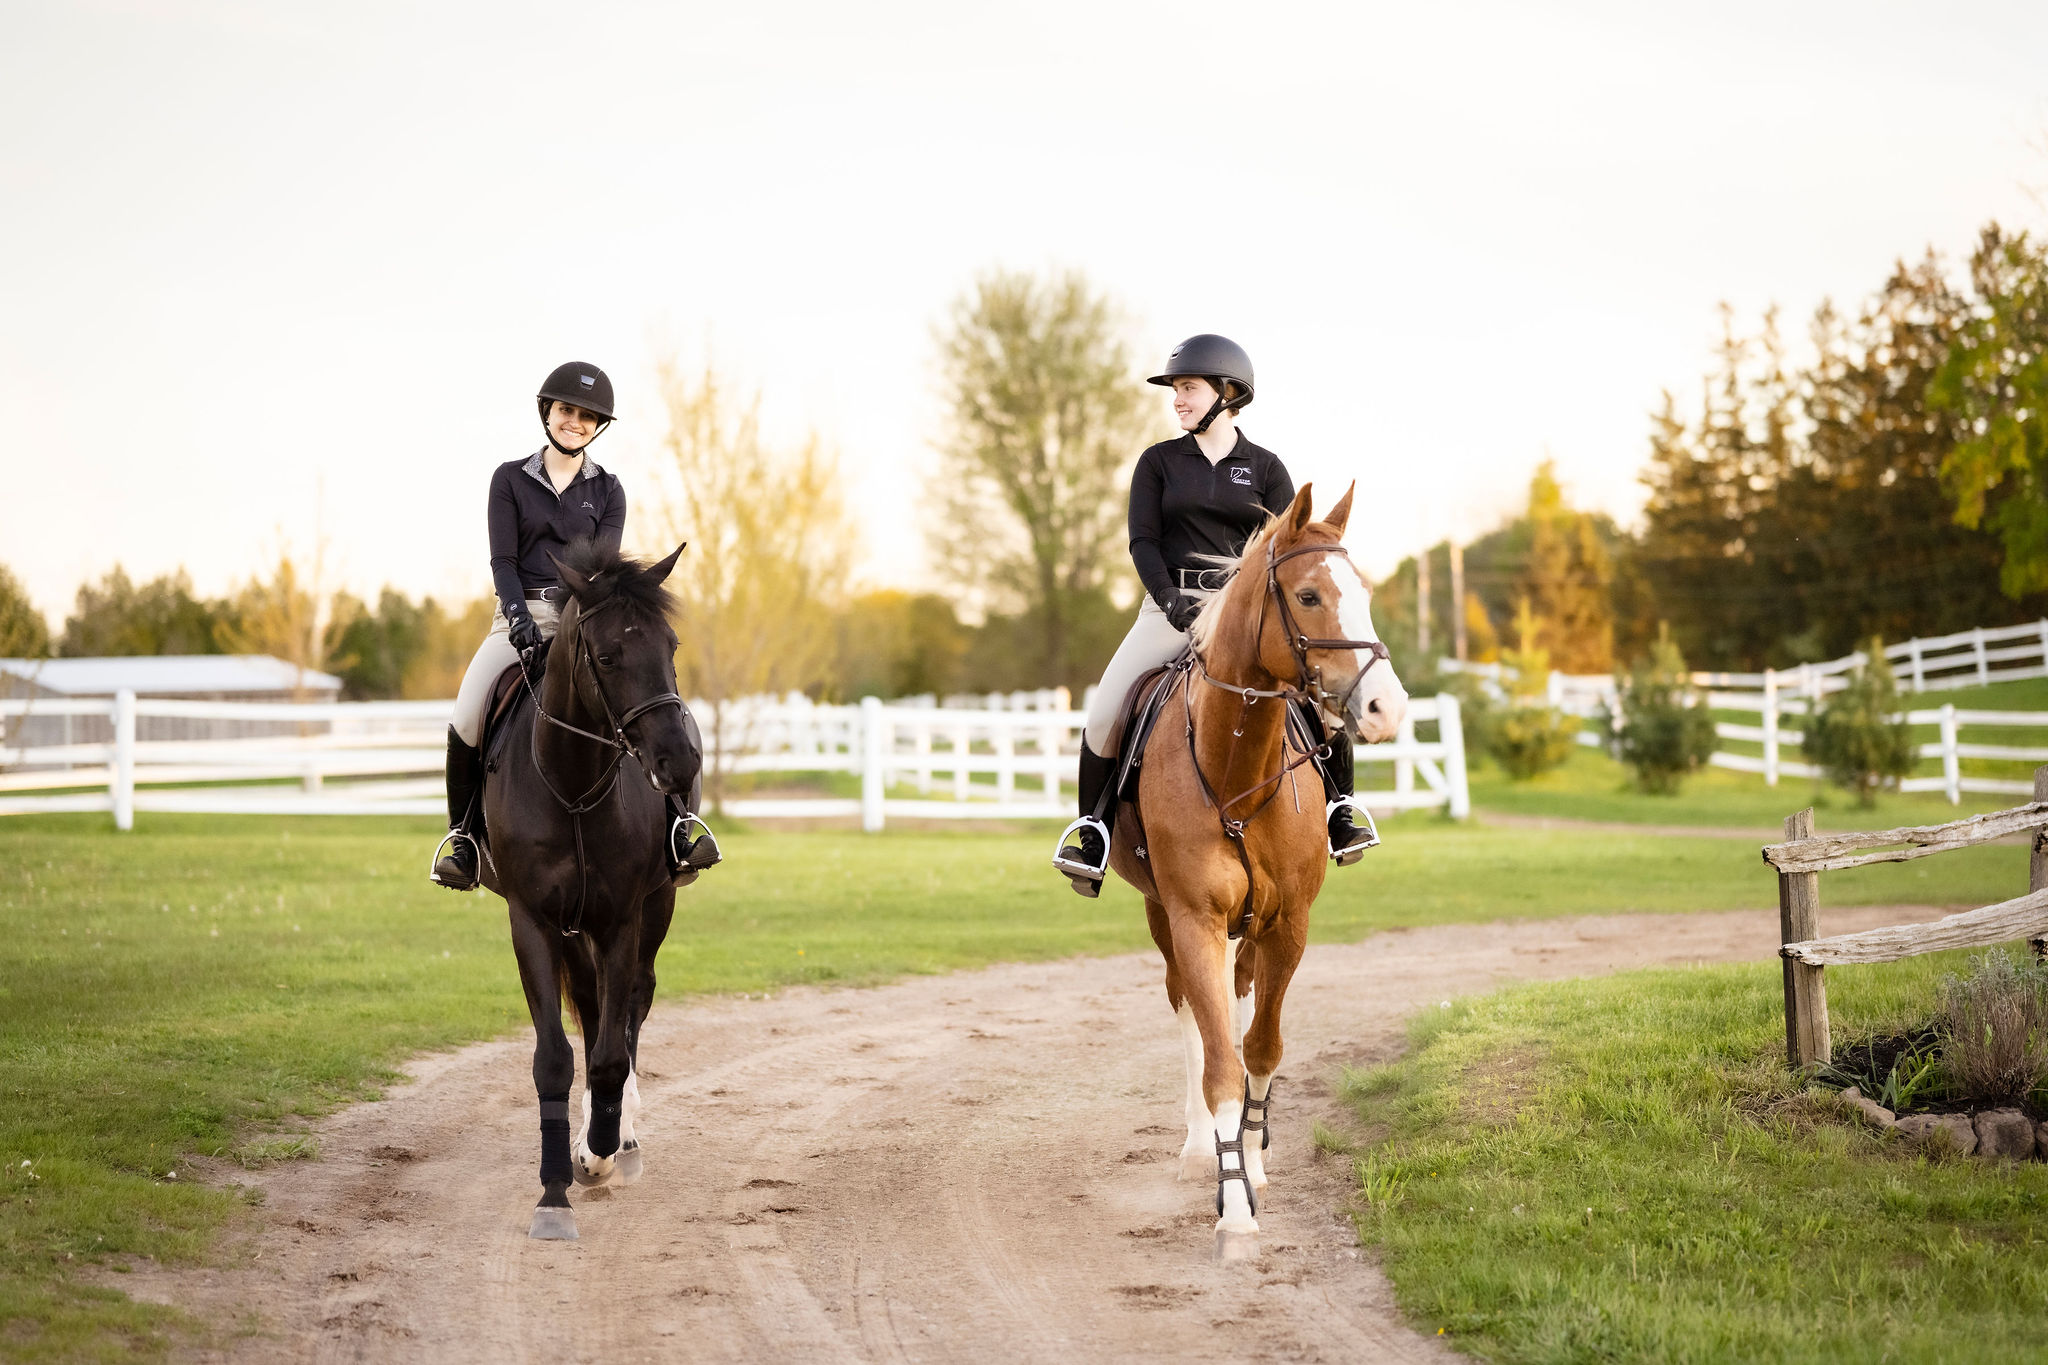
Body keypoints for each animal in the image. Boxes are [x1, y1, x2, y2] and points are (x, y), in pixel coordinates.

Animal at [477, 539, 704, 1241]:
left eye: (671, 645)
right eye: (606, 657)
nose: (679, 763)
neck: (572, 786)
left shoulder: (622, 919)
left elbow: (609, 1052)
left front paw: (602, 1153)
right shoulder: (532, 921)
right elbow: (555, 1055)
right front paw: (555, 1192)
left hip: (655, 908)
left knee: (629, 1010)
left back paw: (619, 1141)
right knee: (593, 1006)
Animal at [1107, 483, 1406, 1253]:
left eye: (1364, 591)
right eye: (1307, 596)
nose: (1386, 708)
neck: (1236, 768)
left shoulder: (1288, 925)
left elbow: (1260, 1048)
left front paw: (1253, 1159)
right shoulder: (1194, 919)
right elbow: (1218, 1062)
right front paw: (1232, 1199)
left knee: (1239, 1005)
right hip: (1162, 916)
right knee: (1190, 1008)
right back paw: (1197, 1149)